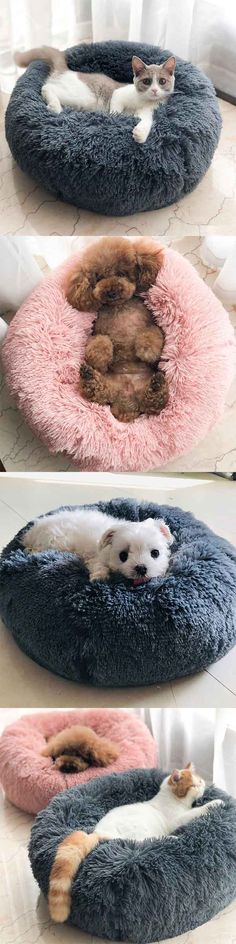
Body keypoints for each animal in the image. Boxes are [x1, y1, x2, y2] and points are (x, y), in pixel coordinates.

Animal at [13, 46, 175, 144]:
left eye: (162, 81)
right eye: (147, 81)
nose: (154, 90)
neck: (143, 100)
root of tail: (67, 70)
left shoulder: (147, 111)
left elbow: (147, 120)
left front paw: (140, 133)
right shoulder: (119, 93)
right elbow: (116, 107)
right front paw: (114, 117)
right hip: (84, 96)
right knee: (47, 87)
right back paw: (54, 105)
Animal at [22, 508, 173, 584]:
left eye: (155, 553)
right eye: (123, 556)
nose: (141, 568)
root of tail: (33, 530)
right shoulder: (96, 557)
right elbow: (98, 565)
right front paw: (100, 576)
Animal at [47, 760, 223, 920]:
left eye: (201, 781)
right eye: (194, 785)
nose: (203, 786)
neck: (171, 800)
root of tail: (98, 831)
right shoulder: (178, 820)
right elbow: (196, 811)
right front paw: (214, 803)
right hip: (139, 830)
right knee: (144, 843)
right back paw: (171, 839)